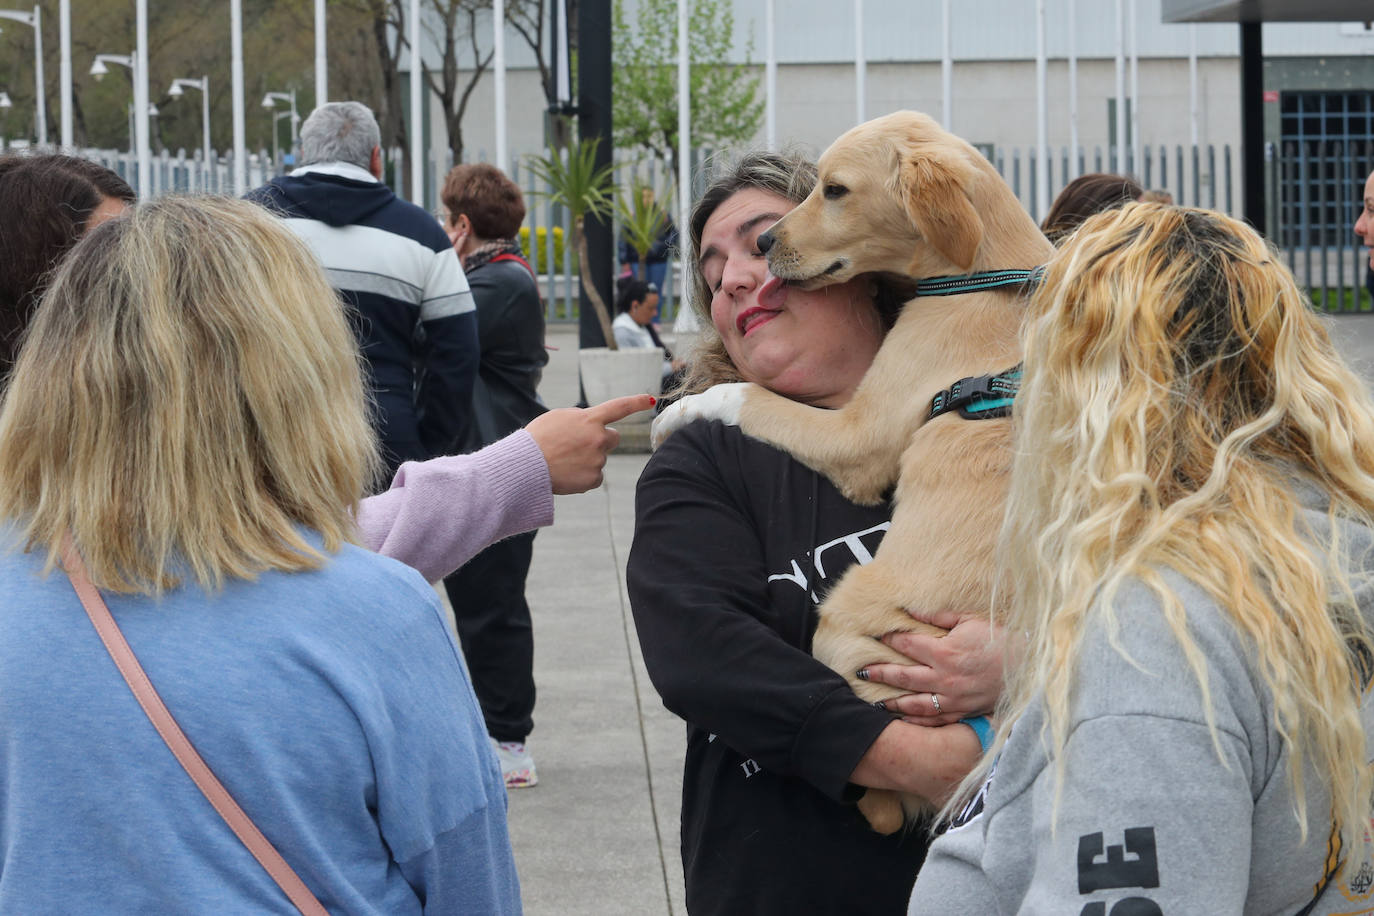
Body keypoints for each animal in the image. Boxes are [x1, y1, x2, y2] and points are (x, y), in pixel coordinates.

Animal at [651, 111, 1049, 834]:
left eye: (835, 190)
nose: (766, 241)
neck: (988, 273)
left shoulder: (858, 438)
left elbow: (752, 397)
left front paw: (681, 411)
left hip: (841, 616)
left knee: (887, 797)